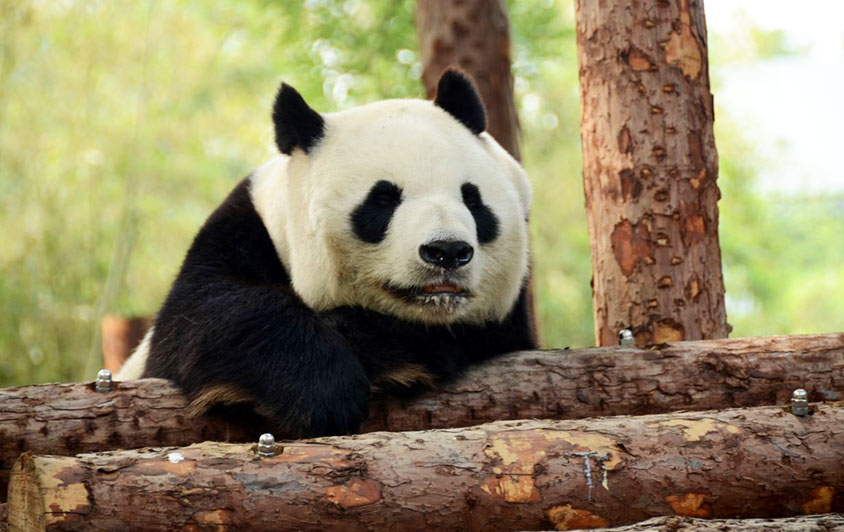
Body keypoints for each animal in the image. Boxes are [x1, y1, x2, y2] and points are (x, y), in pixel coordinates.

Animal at [118, 69, 536, 436]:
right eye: (383, 199)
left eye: (472, 199)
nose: (446, 251)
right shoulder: (241, 231)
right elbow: (204, 316)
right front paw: (322, 390)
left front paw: (356, 336)